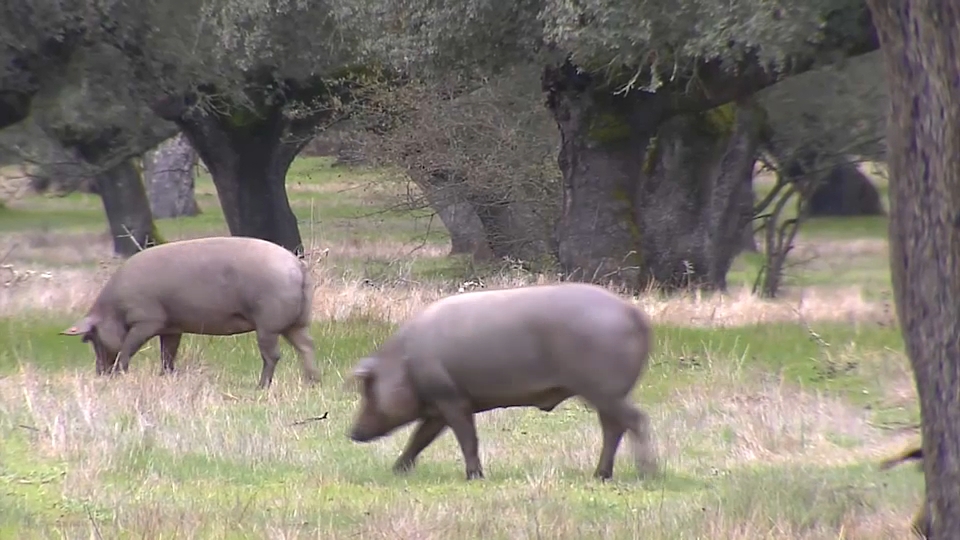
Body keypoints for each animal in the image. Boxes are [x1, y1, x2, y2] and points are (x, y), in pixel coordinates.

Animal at [60, 236, 322, 388]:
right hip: (297, 322)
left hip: (268, 323)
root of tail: (297, 266)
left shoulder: (147, 320)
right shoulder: (171, 327)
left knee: (273, 355)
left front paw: (120, 374)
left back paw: (261, 387)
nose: (99, 374)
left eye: (90, 337)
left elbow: (128, 347)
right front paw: (165, 377)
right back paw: (313, 382)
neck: (114, 310)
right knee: (306, 347)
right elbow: (168, 354)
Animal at [347, 282, 658, 481]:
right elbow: (420, 438)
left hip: (603, 388)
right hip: (607, 392)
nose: (351, 433)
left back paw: (647, 473)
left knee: (634, 420)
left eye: (368, 390)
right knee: (614, 427)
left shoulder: (452, 398)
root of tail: (634, 313)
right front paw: (396, 470)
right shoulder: (438, 407)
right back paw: (601, 475)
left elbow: (467, 438)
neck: (405, 363)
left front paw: (474, 477)